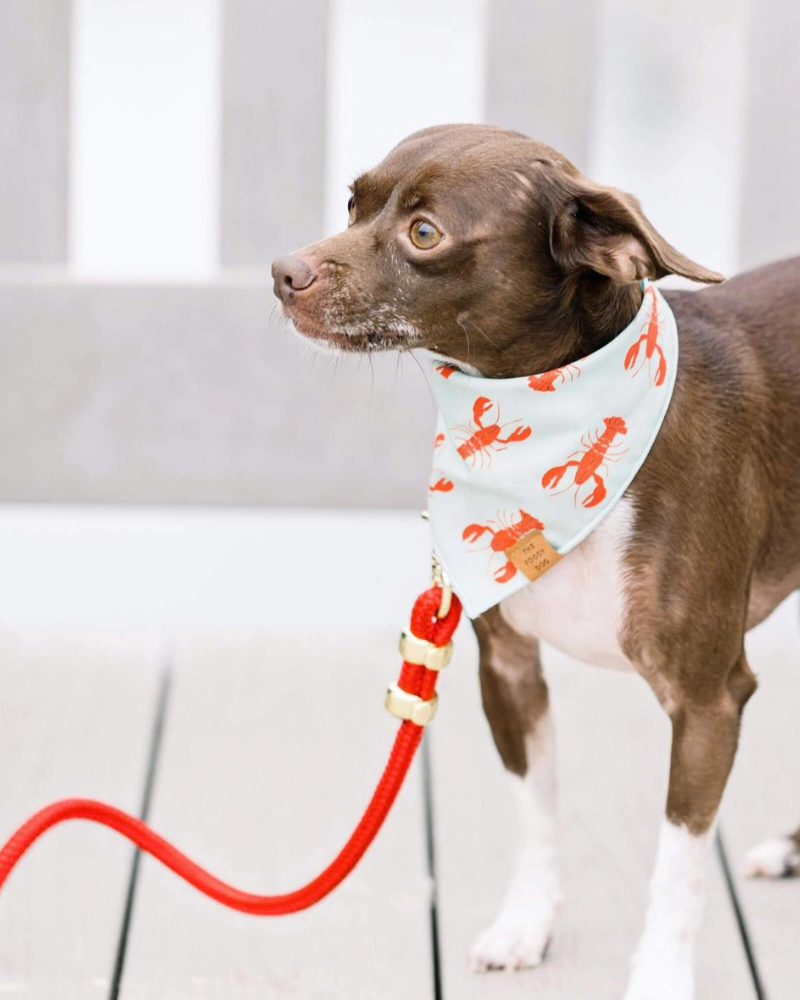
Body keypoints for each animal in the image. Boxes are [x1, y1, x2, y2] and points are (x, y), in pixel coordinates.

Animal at [270, 125, 800, 1000]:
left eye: (425, 233)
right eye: (352, 203)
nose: (284, 272)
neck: (558, 407)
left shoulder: (708, 703)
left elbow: (678, 863)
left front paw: (661, 976)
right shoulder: (510, 673)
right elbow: (538, 814)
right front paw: (527, 923)